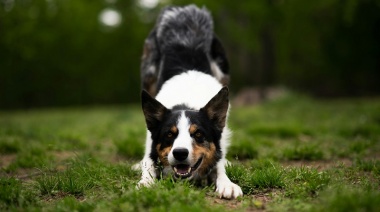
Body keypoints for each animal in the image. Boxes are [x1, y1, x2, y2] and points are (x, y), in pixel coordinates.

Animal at [138, 4, 242, 200]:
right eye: (169, 135)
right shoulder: (150, 145)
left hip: (223, 70)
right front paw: (145, 183)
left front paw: (227, 184)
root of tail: (183, 8)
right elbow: (148, 164)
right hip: (148, 73)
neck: (185, 102)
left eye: (198, 134)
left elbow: (219, 164)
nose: (180, 153)